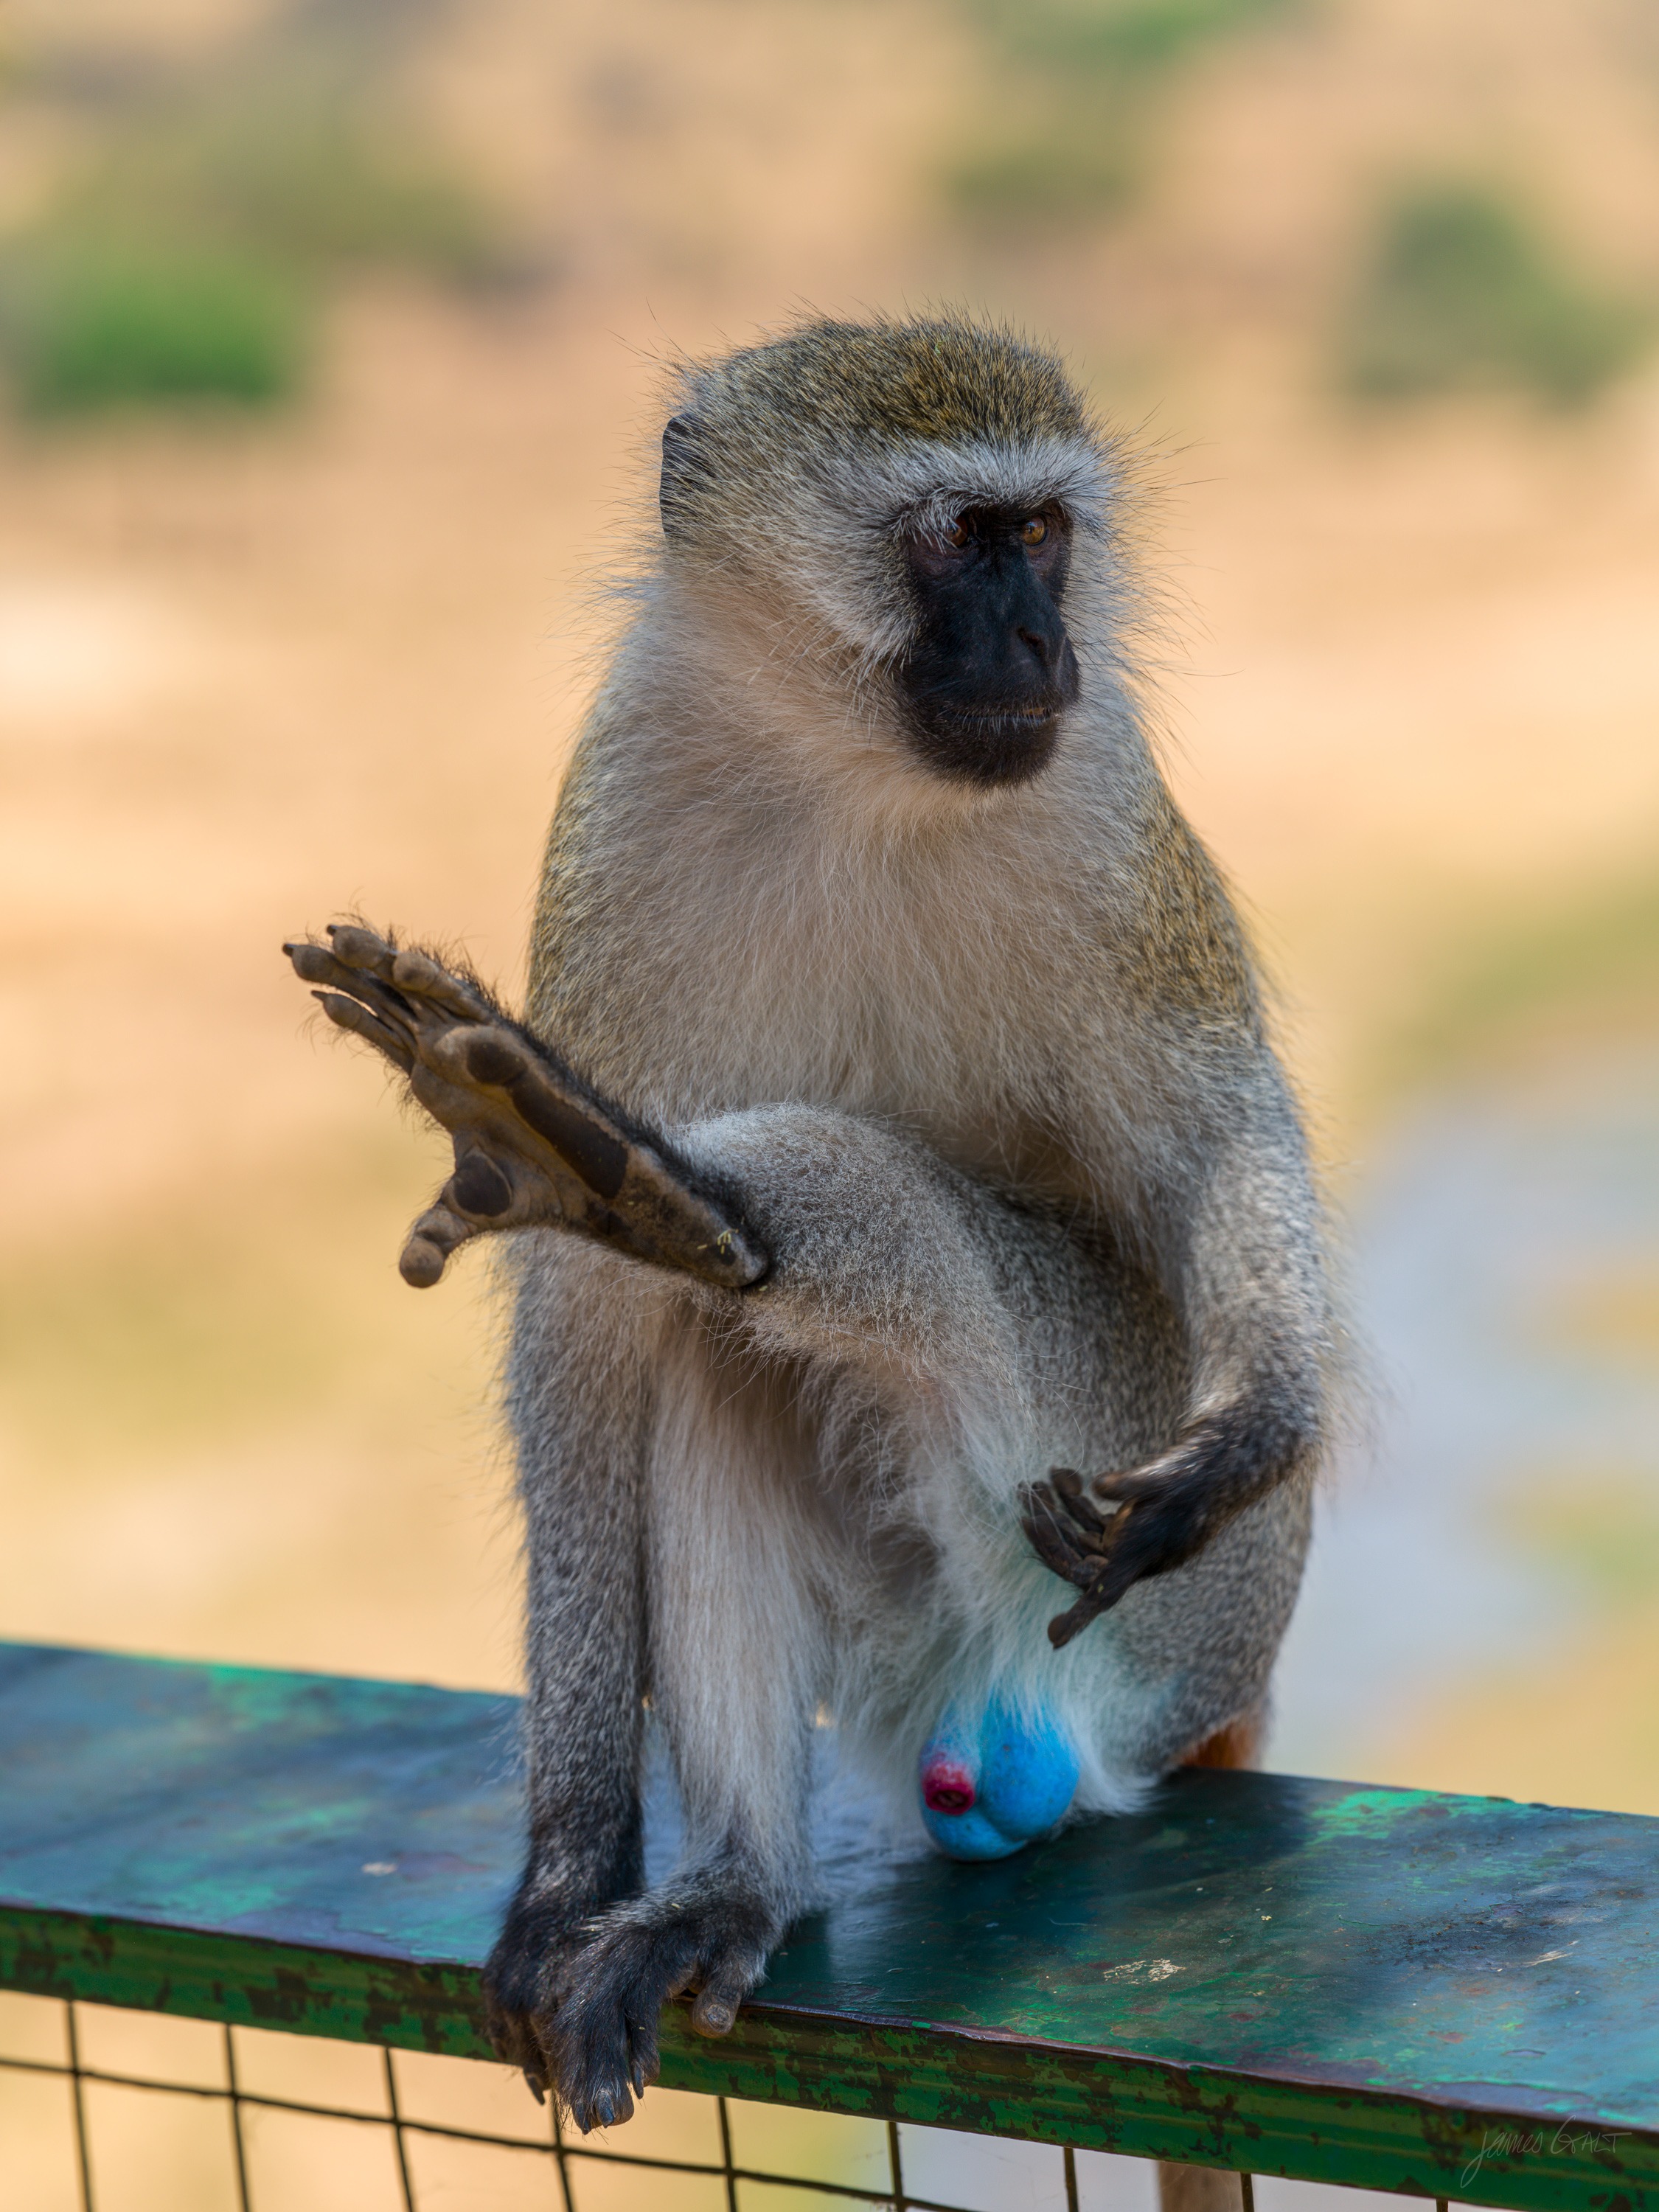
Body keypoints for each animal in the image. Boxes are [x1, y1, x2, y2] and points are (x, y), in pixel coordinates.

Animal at [286, 313, 1332, 2152]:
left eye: (1042, 533)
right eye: (960, 542)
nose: (1043, 637)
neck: (855, 775)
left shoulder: (1111, 813)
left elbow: (1211, 1145)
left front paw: (1254, 1431)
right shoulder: (621, 796)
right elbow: (580, 1339)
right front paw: (572, 1862)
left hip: (1149, 1606)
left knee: (870, 1237)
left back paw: (646, 1182)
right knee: (707, 1361)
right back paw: (736, 1881)